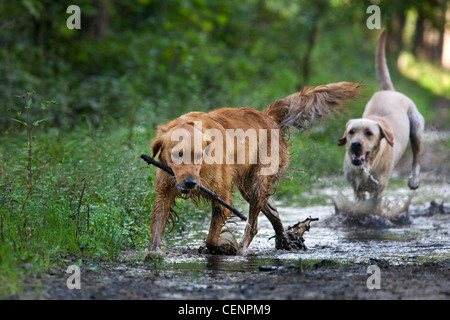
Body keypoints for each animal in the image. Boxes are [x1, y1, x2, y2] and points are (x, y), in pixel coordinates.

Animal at [149, 82, 360, 255]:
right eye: (177, 154)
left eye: (199, 155)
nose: (190, 183)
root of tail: (267, 116)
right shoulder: (165, 192)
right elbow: (158, 224)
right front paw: (153, 253)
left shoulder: (222, 194)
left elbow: (211, 238)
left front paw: (224, 247)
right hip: (248, 187)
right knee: (272, 212)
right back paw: (284, 239)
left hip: (258, 181)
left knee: (253, 225)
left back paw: (243, 249)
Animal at [338, 31, 426, 209]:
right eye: (351, 132)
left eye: (369, 133)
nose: (355, 144)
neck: (367, 166)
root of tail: (390, 91)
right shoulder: (357, 189)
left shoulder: (377, 191)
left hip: (416, 127)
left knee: (417, 156)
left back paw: (414, 179)